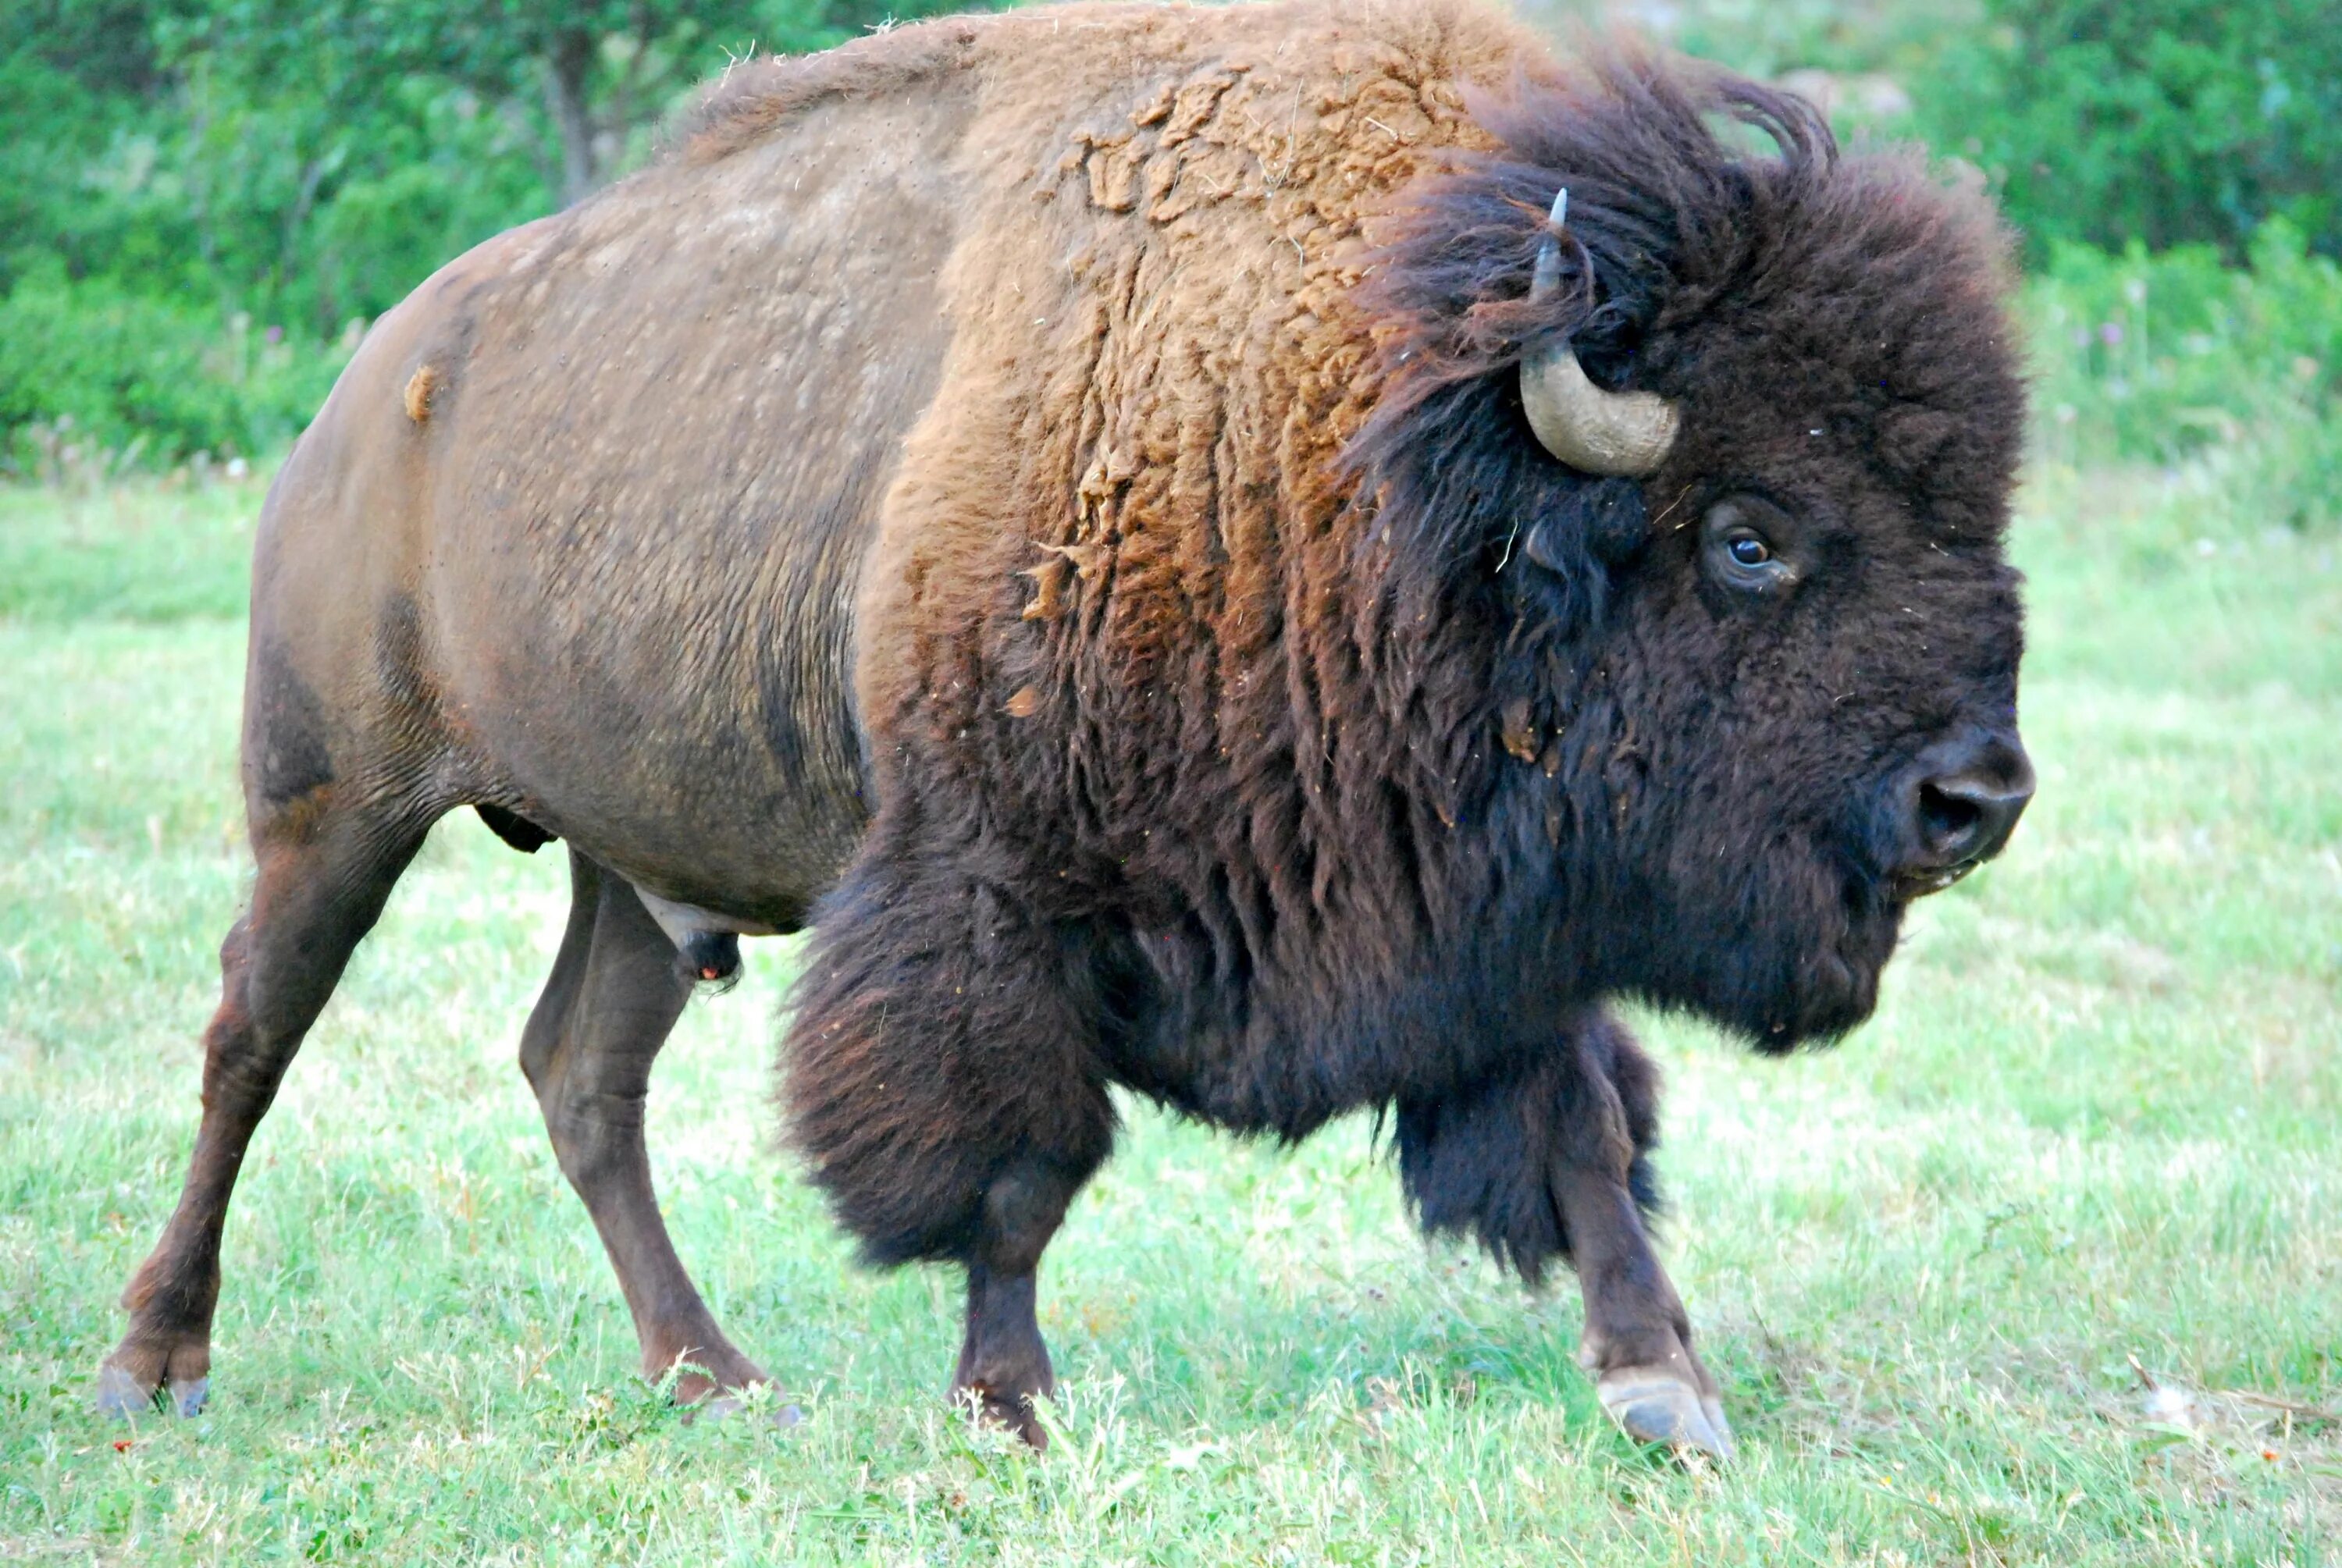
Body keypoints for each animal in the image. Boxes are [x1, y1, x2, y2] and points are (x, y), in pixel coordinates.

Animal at [91, 0, 2033, 1460]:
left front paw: (1664, 1386)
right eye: (1750, 534)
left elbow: (1583, 1128)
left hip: (634, 856)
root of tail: (367, 391)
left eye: (1977, 505)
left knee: (581, 1073)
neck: (1393, 445)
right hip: (335, 803)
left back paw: (713, 1375)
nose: (1977, 794)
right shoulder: (994, 890)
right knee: (247, 1037)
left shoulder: (1497, 913)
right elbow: (1018, 1168)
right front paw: (1008, 1404)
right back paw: (154, 1362)